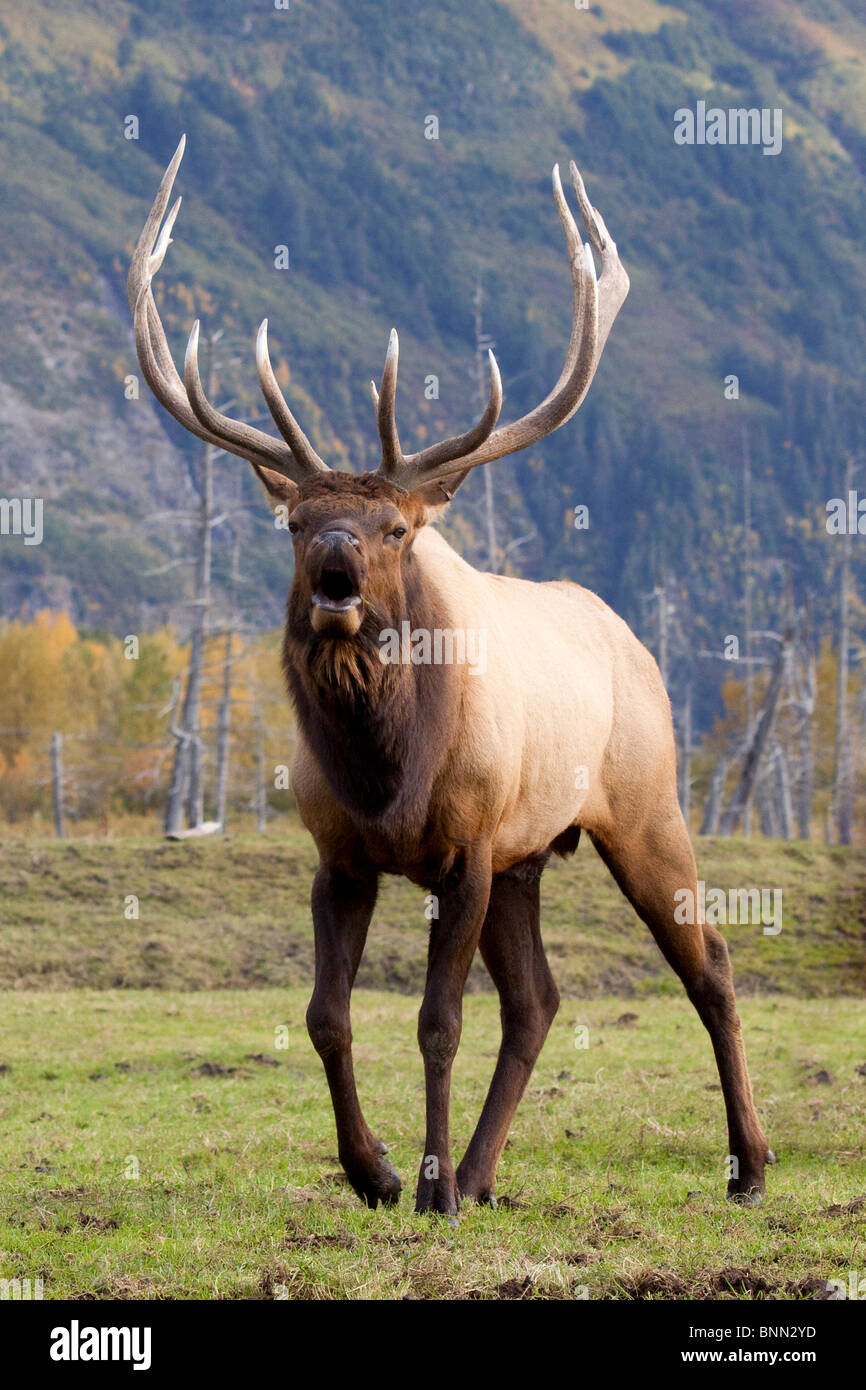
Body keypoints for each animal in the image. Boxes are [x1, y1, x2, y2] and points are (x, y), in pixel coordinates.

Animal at [128, 137, 773, 1215]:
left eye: (393, 526)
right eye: (297, 521)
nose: (337, 565)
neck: (387, 771)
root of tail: (634, 643)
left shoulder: (465, 847)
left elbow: (438, 1023)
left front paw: (425, 1187)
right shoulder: (342, 853)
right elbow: (327, 1014)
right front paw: (377, 1171)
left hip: (642, 806)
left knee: (711, 966)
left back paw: (748, 1164)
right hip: (528, 853)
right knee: (538, 999)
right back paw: (481, 1170)